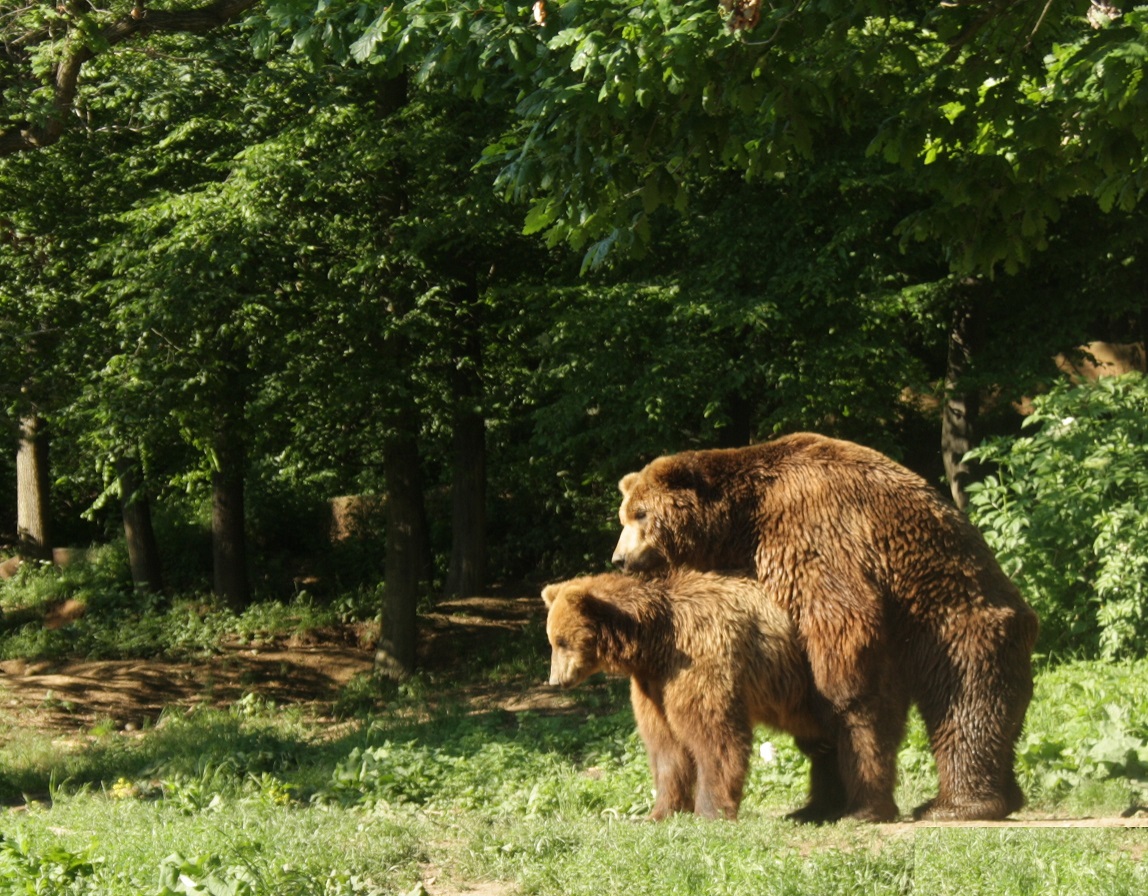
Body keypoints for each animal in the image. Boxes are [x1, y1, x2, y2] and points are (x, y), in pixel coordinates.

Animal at [541, 574, 840, 817]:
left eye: (562, 641)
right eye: (552, 640)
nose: (555, 680)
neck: (655, 644)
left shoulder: (700, 660)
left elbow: (714, 738)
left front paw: (709, 811)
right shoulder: (653, 686)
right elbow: (666, 747)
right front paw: (660, 811)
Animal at [610, 429, 1042, 822]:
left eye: (641, 514)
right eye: (624, 515)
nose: (620, 558)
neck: (740, 521)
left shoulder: (812, 529)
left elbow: (841, 619)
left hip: (951, 622)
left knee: (962, 703)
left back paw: (946, 806)